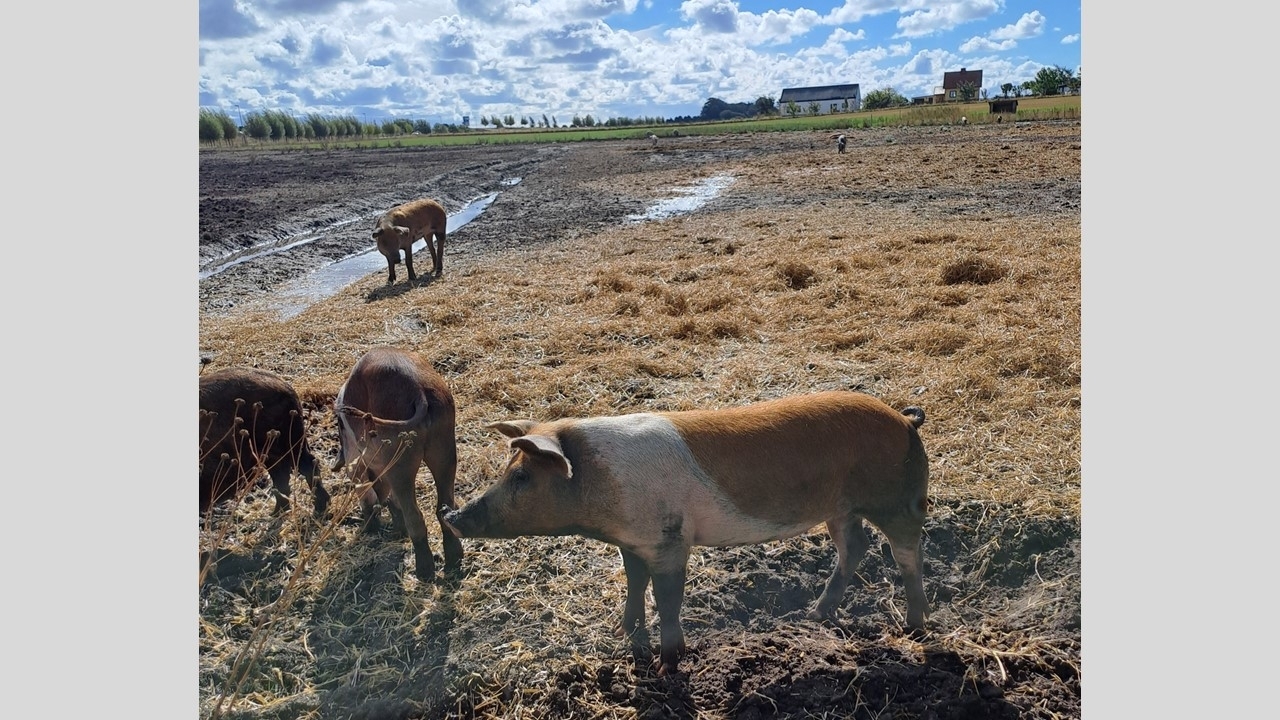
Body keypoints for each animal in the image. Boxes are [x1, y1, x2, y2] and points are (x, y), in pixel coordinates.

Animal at [197, 363, 330, 515]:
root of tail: (288, 388)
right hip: (273, 450)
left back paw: (320, 510)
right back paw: (276, 513)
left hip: (289, 440)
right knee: (282, 476)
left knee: (308, 464)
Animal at [442, 386, 931, 671]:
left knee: (907, 553)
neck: (601, 485)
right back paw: (816, 614)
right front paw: (625, 635)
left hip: (898, 499)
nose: (451, 515)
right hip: (841, 508)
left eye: (522, 476)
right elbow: (634, 584)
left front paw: (668, 661)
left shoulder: (669, 540)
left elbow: (668, 598)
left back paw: (914, 628)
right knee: (855, 546)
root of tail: (905, 420)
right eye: (509, 468)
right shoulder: (633, 542)